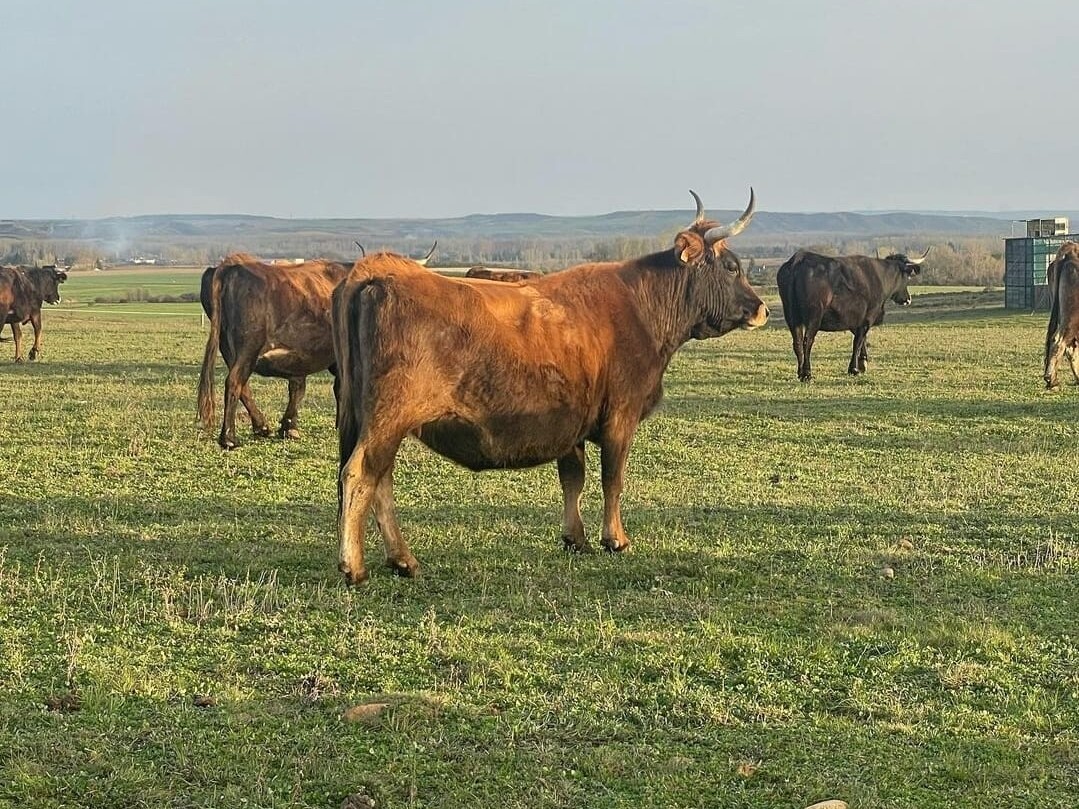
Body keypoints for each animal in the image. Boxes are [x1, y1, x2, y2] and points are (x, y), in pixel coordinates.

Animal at [196, 244, 436, 449]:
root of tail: (230, 266)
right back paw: (229, 438)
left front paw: (289, 427)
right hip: (248, 347)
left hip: (230, 349)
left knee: (243, 386)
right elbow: (340, 389)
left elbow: (297, 388)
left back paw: (261, 426)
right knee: (235, 382)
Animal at [331, 189, 768, 584]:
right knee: (361, 474)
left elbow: (573, 479)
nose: (761, 309)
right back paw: (355, 567)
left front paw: (576, 539)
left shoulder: (571, 423)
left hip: (374, 420)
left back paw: (402, 560)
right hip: (388, 418)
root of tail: (378, 276)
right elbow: (613, 479)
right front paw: (616, 539)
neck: (641, 308)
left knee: (380, 479)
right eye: (731, 267)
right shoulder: (620, 417)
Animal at [776, 247, 929, 381]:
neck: (879, 276)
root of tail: (799, 258)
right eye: (907, 277)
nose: (908, 299)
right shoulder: (867, 318)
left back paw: (800, 372)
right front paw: (854, 368)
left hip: (791, 317)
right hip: (814, 316)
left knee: (797, 343)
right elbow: (858, 341)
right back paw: (807, 374)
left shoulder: (853, 320)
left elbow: (861, 339)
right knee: (807, 341)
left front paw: (863, 363)